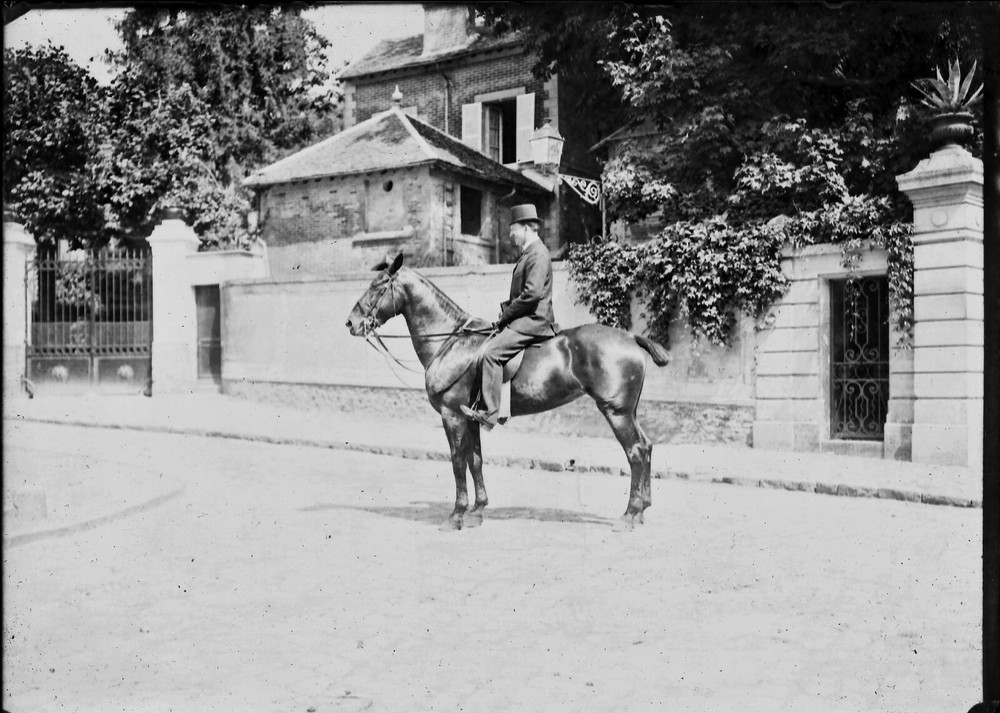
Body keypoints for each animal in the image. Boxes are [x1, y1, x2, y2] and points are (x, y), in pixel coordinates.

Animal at [345, 253, 671, 531]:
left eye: (377, 286)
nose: (351, 323)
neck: (451, 342)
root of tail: (629, 336)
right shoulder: (471, 418)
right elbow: (475, 460)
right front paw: (477, 511)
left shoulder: (452, 416)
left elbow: (457, 461)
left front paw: (456, 516)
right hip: (628, 411)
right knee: (646, 446)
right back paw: (642, 510)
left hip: (616, 412)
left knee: (635, 452)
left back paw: (629, 515)